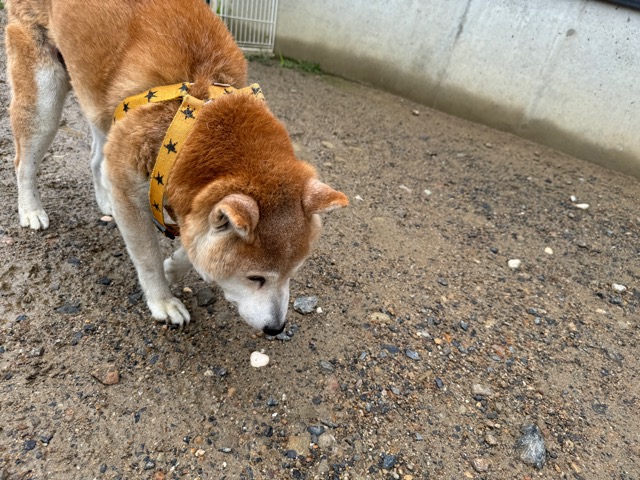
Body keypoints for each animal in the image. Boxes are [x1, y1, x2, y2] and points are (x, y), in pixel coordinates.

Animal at [5, 0, 348, 334]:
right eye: (256, 278)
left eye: (293, 272)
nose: (276, 329)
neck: (198, 111)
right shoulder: (133, 187)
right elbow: (148, 258)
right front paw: (163, 300)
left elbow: (192, 239)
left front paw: (176, 266)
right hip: (44, 98)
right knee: (23, 162)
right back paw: (31, 210)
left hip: (102, 113)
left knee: (97, 159)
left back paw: (104, 202)